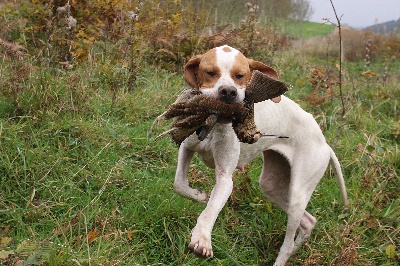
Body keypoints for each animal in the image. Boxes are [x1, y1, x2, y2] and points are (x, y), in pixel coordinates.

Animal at [173, 44, 348, 264]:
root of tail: (325, 144)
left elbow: (210, 210)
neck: (213, 124)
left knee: (288, 242)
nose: (228, 92)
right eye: (210, 72)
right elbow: (179, 184)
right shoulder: (186, 148)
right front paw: (197, 195)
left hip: (298, 194)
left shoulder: (225, 179)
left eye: (240, 75)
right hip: (271, 185)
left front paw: (201, 239)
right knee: (308, 221)